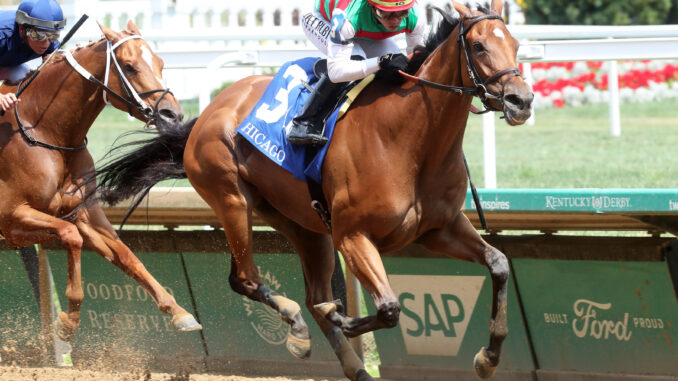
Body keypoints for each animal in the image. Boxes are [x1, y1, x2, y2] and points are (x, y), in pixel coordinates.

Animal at [0, 20, 202, 342]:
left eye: (160, 62)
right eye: (129, 67)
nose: (172, 114)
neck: (45, 131)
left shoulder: (82, 212)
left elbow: (125, 254)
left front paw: (179, 312)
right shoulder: (12, 220)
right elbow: (71, 236)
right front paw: (67, 322)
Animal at [95, 1, 532, 378]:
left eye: (515, 45)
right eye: (478, 45)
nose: (521, 100)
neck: (411, 140)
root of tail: (211, 110)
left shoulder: (439, 228)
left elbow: (499, 264)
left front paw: (488, 357)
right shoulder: (353, 236)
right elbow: (388, 308)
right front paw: (340, 315)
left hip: (302, 224)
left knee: (308, 292)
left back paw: (351, 364)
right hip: (232, 199)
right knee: (247, 279)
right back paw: (299, 331)